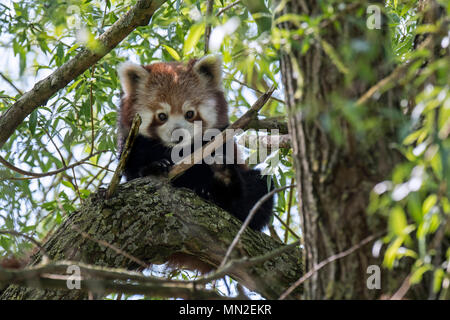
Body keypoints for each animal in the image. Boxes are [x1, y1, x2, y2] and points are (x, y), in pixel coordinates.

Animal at [116, 54, 272, 230]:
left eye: (189, 114)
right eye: (162, 116)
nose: (178, 135)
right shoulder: (134, 142)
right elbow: (133, 171)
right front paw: (154, 167)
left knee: (260, 186)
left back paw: (223, 180)